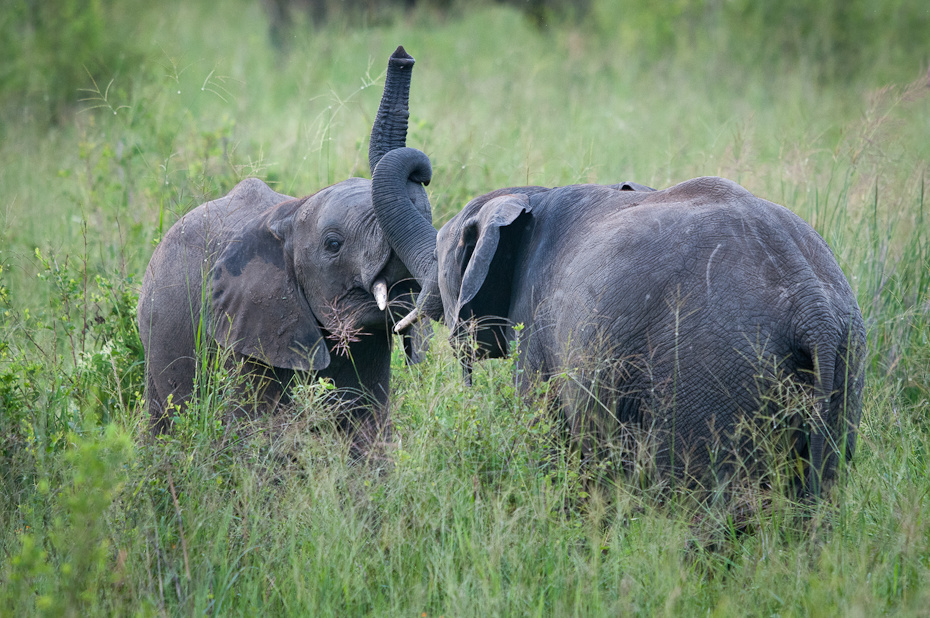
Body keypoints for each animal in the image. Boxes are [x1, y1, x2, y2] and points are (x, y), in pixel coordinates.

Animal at [370, 148, 864, 496]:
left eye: (445, 255)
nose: (421, 172)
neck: (531, 194)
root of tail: (812, 306)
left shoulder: (538, 320)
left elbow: (541, 425)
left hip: (710, 372)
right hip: (846, 362)